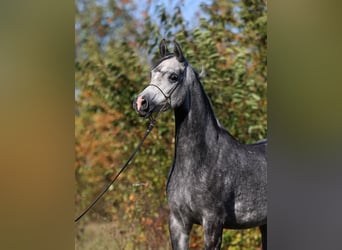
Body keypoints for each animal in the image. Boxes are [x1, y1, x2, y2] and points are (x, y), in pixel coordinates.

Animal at [134, 40, 268, 249]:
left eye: (174, 77)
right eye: (152, 73)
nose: (141, 103)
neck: (201, 160)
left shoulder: (213, 223)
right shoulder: (178, 223)